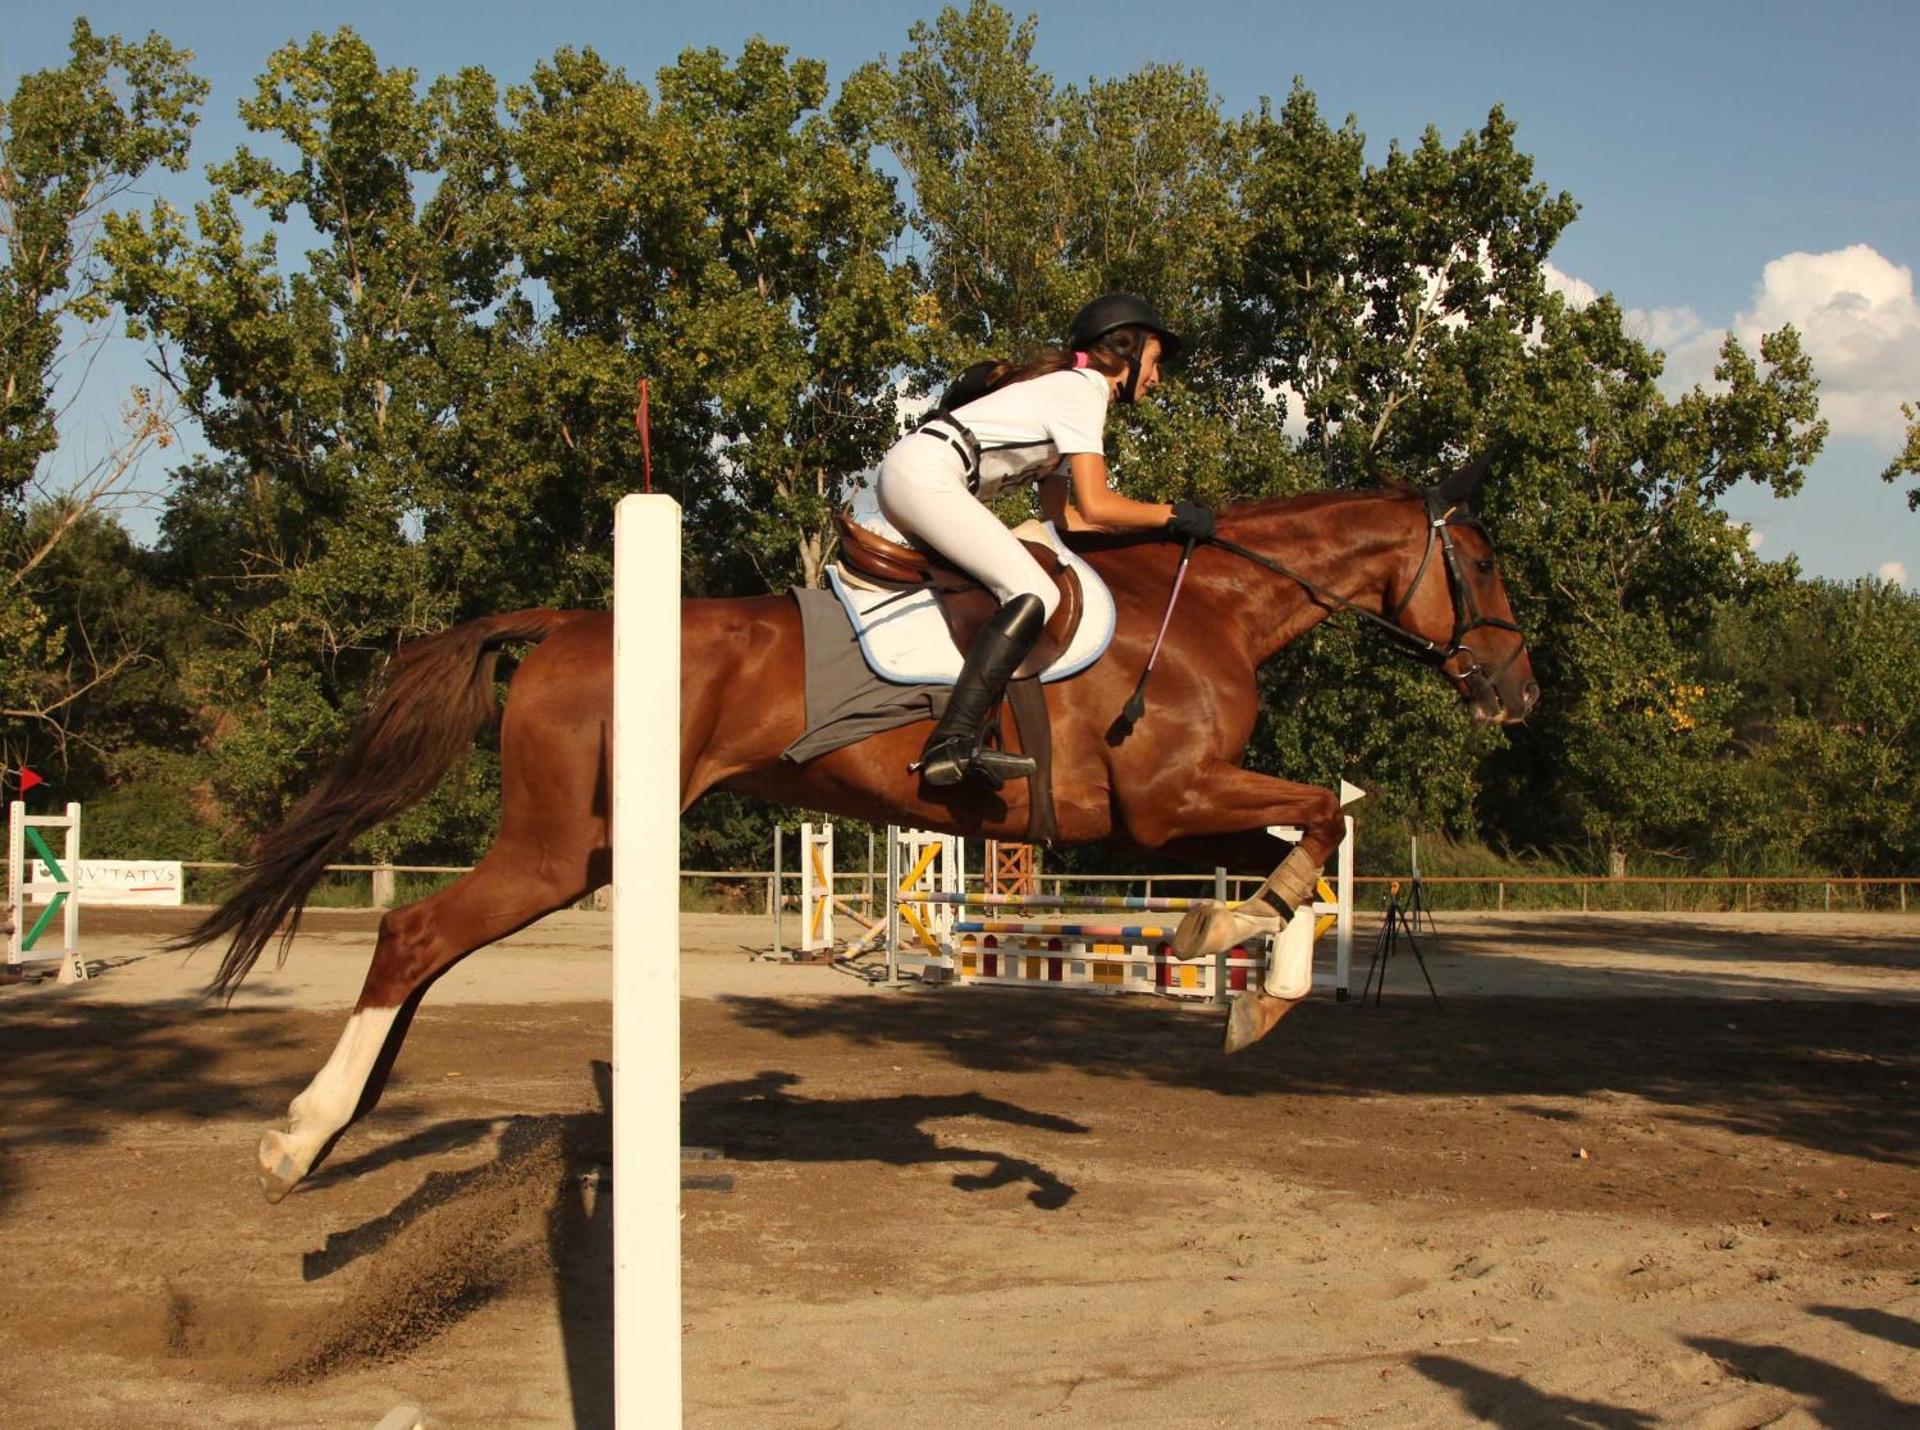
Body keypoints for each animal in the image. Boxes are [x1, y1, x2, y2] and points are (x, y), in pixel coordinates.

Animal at [181, 456, 1537, 1202]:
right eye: (1481, 564)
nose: (1517, 694)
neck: (1207, 604)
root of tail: (567, 619)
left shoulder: (1186, 802)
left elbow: (1318, 829)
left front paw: (1256, 980)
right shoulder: (1167, 797)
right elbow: (1319, 813)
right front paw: (1231, 953)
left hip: (590, 848)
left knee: (423, 944)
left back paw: (347, 1118)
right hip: (562, 850)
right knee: (411, 933)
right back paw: (301, 1137)